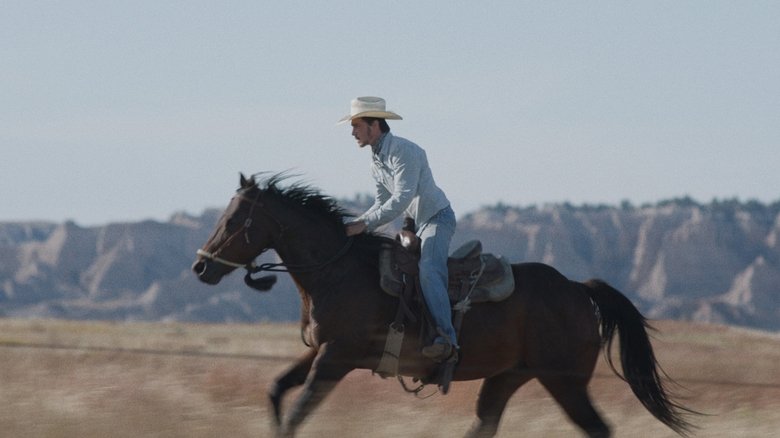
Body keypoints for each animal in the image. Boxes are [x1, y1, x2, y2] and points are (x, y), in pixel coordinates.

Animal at [190, 173, 696, 436]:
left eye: (233, 220)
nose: (200, 267)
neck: (339, 271)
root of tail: (578, 288)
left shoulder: (337, 357)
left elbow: (298, 412)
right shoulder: (320, 351)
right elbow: (277, 390)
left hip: (564, 381)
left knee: (597, 429)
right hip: (509, 376)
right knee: (485, 424)